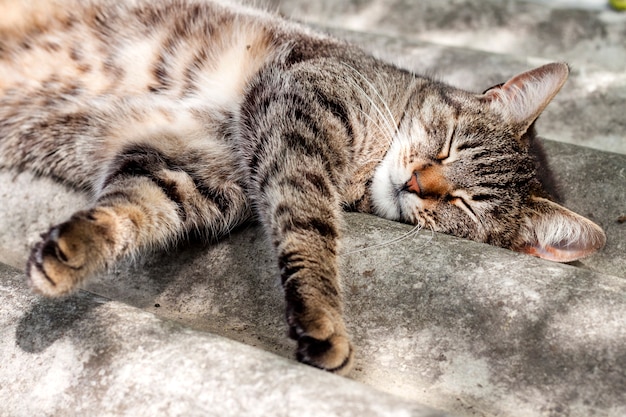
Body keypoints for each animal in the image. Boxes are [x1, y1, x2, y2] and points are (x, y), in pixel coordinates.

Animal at [0, 0, 604, 372]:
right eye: (449, 143)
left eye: (467, 207)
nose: (417, 182)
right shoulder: (300, 109)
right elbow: (309, 224)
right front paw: (321, 312)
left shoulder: (192, 165)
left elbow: (133, 207)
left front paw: (77, 247)